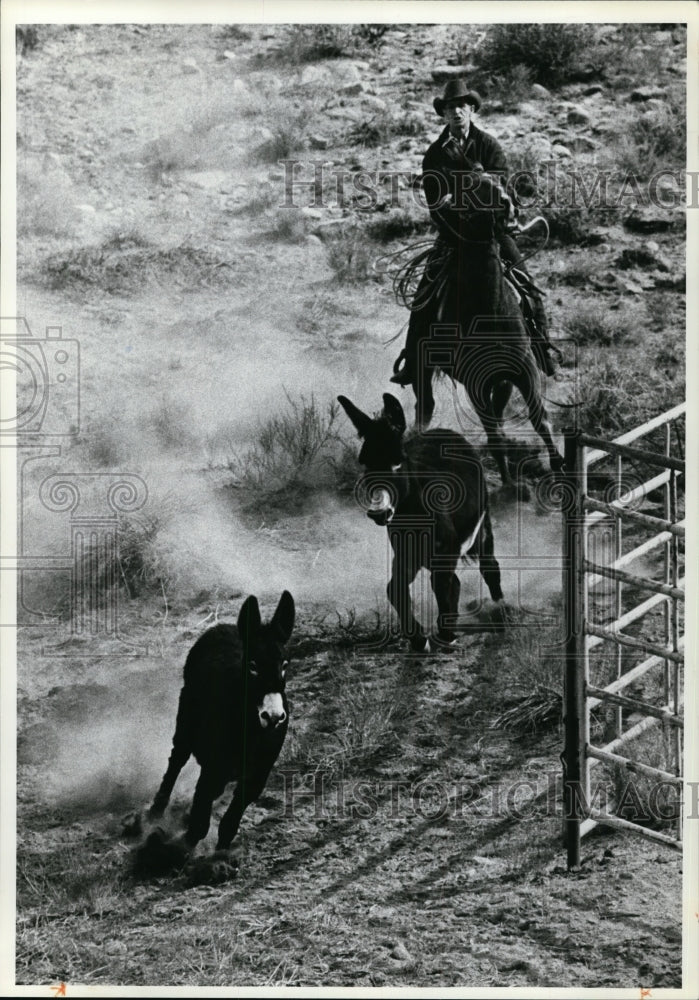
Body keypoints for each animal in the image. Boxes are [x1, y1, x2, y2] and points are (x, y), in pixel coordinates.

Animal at [338, 390, 504, 656]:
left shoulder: (446, 551)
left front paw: (445, 635)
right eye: (365, 463)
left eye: (397, 462)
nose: (378, 513)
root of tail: (445, 431)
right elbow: (394, 589)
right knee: (456, 581)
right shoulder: (406, 555)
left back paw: (500, 612)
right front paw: (419, 639)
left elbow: (441, 585)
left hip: (481, 529)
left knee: (489, 567)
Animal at [400, 174, 564, 500]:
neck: (489, 310)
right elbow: (495, 434)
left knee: (498, 414)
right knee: (425, 406)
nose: (507, 204)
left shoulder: (524, 371)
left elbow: (541, 421)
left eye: (498, 182)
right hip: (426, 369)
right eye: (471, 190)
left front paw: (560, 472)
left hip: (501, 382)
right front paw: (511, 485)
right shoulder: (476, 383)